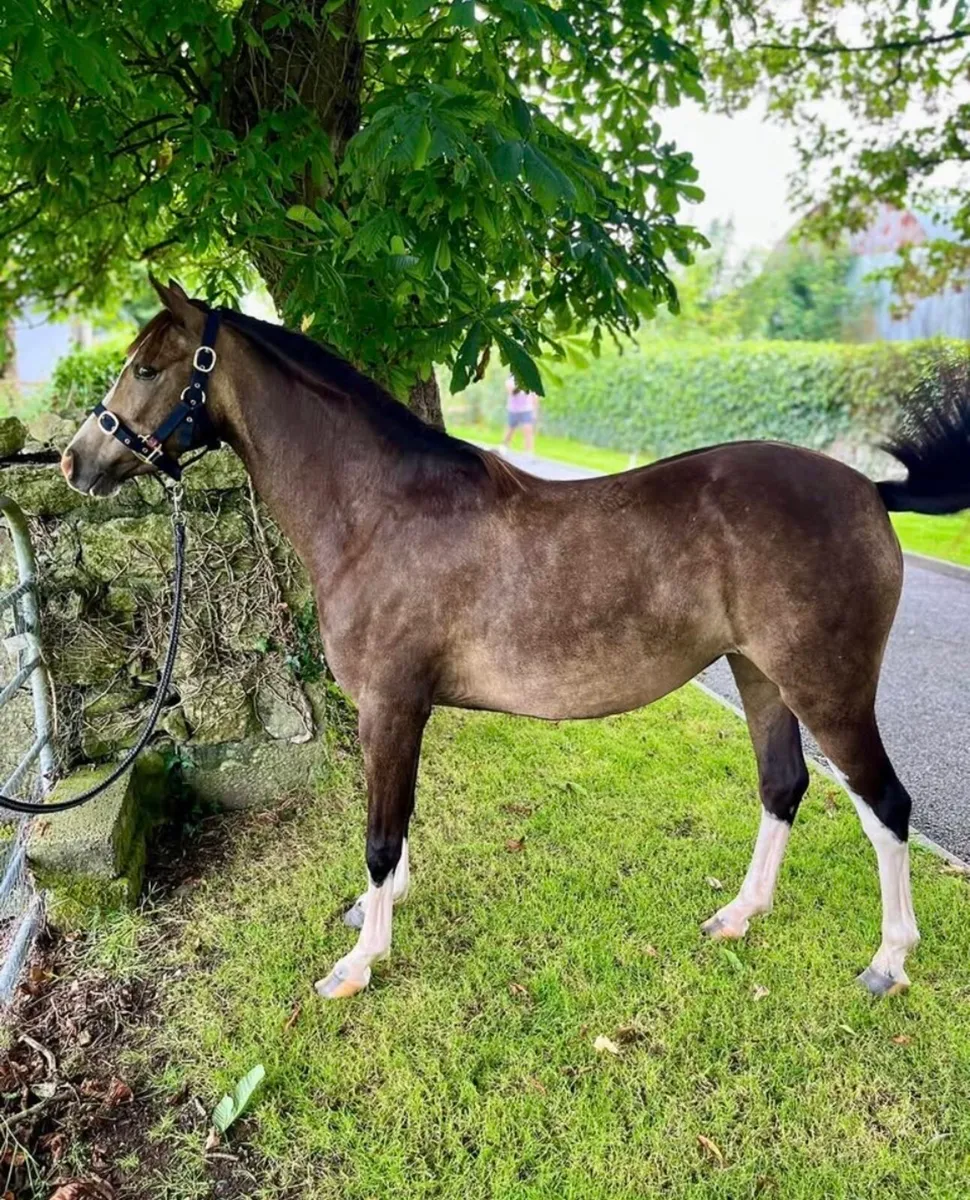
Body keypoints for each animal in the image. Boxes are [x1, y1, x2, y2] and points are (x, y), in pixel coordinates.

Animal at [62, 279, 970, 1000]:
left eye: (148, 368)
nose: (75, 462)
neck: (376, 511)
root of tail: (871, 491)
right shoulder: (405, 711)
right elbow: (397, 823)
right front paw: (377, 913)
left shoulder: (390, 705)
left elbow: (380, 835)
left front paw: (360, 963)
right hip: (759, 676)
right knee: (783, 786)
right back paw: (738, 916)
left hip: (826, 688)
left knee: (885, 807)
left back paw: (889, 962)